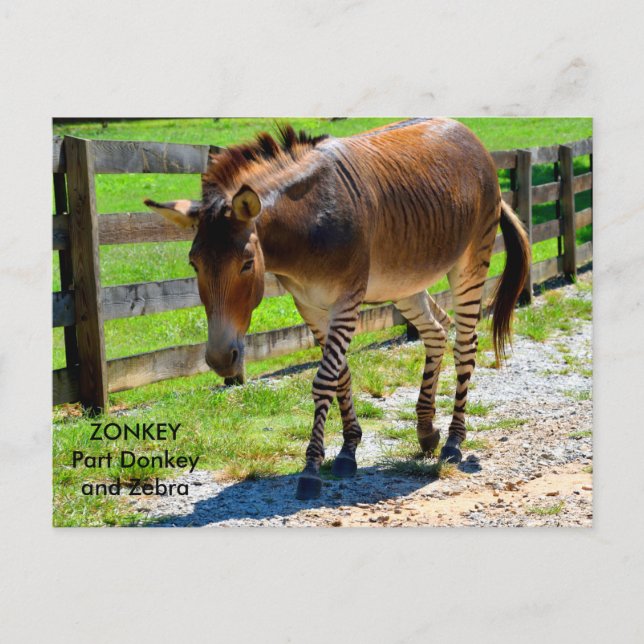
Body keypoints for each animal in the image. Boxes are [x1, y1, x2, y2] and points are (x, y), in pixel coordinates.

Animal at [145, 118, 530, 500]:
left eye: (246, 264)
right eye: (193, 264)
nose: (221, 360)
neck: (308, 224)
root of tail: (465, 130)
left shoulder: (347, 299)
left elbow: (325, 379)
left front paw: (311, 470)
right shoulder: (310, 306)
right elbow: (341, 374)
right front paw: (348, 450)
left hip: (470, 263)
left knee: (465, 345)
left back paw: (453, 440)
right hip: (403, 280)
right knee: (436, 331)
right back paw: (425, 430)